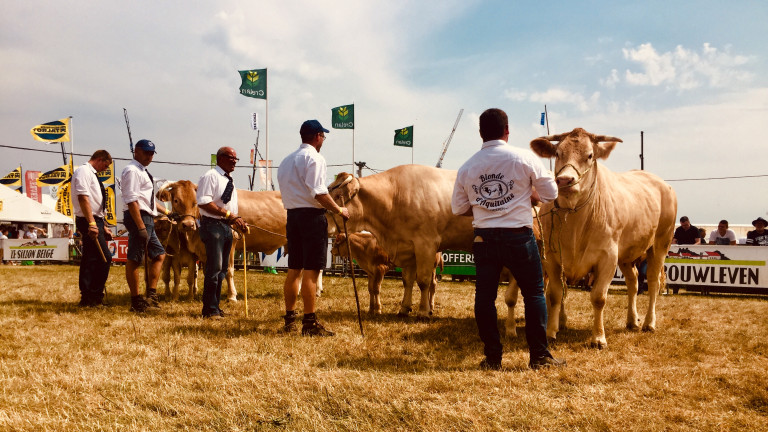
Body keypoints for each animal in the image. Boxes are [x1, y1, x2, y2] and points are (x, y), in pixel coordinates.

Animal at [532, 127, 676, 348]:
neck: (574, 221)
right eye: (557, 153)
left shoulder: (608, 257)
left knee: (652, 281)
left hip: (661, 243)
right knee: (633, 281)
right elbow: (555, 295)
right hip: (626, 253)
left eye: (590, 155)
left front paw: (598, 338)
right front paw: (550, 333)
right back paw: (632, 320)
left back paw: (649, 323)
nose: (564, 180)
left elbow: (599, 297)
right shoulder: (552, 258)